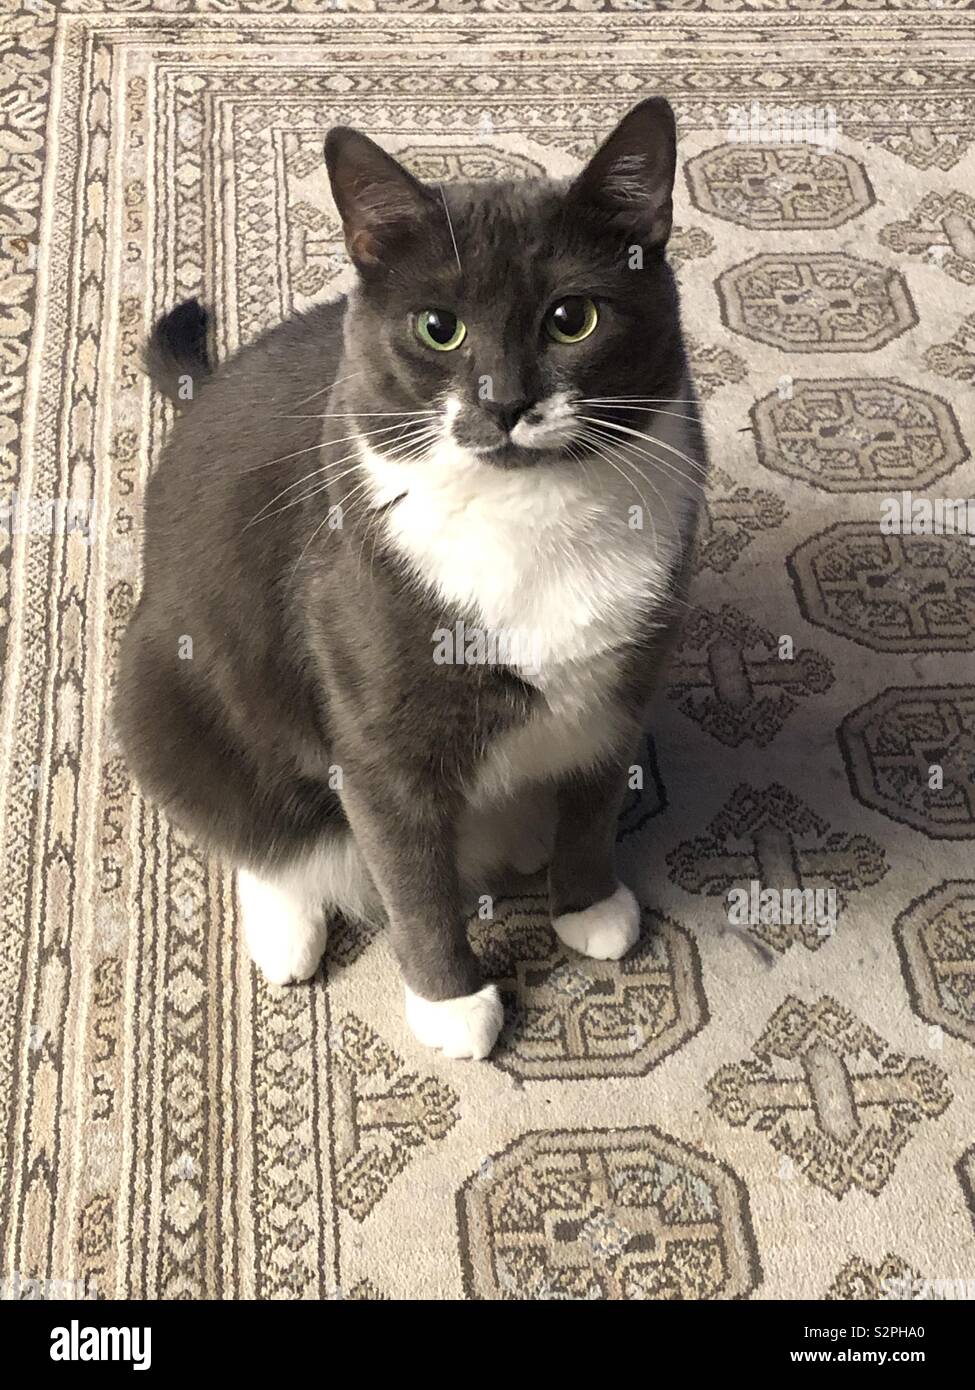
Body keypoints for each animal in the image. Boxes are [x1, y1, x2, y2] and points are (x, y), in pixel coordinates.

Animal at [116, 97, 706, 1061]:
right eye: (439, 327)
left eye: (572, 318)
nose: (505, 401)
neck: (529, 511)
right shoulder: (378, 738)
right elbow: (415, 882)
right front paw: (451, 1004)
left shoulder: (619, 688)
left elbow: (591, 801)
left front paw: (587, 904)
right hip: (166, 690)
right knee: (257, 831)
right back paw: (286, 931)